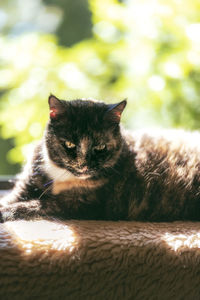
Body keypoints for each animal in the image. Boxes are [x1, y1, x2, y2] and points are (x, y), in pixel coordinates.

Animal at [1, 94, 200, 223]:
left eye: (100, 147)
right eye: (70, 144)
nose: (83, 166)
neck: (60, 175)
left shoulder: (77, 203)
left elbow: (33, 206)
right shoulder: (25, 185)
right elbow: (13, 199)